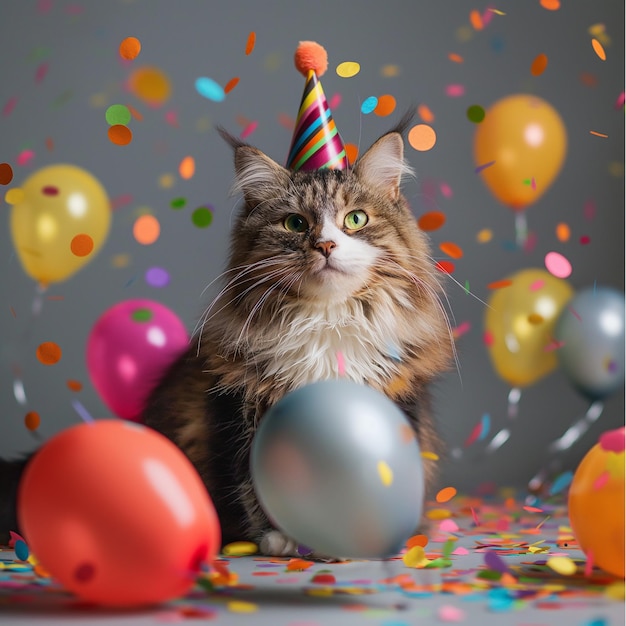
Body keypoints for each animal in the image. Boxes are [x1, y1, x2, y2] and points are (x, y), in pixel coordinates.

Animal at [0, 116, 450, 556]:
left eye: (356, 219)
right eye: (295, 223)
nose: (325, 245)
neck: (325, 323)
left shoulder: (395, 399)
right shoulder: (242, 408)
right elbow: (254, 484)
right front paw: (283, 538)